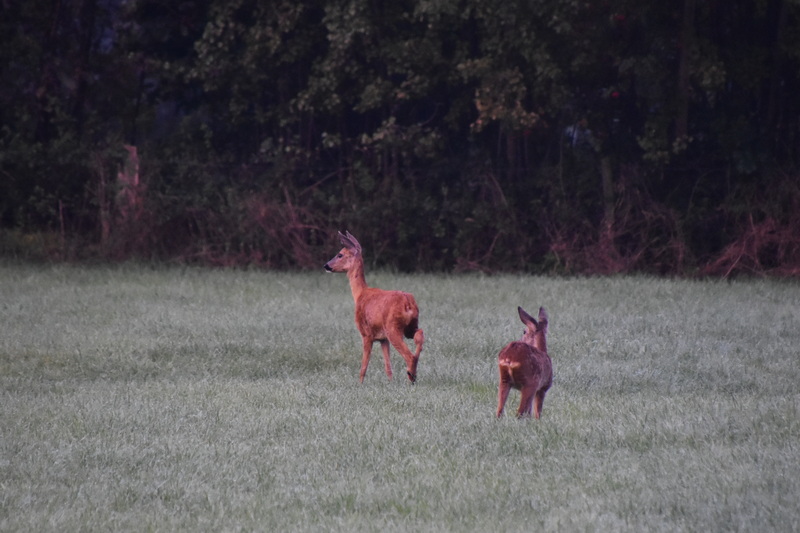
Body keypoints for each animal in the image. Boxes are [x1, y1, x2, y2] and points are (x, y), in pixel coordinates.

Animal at [324, 231, 424, 383]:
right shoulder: (383, 339)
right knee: (420, 335)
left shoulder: (366, 333)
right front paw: (390, 383)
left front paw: (359, 384)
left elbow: (363, 366)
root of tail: (408, 302)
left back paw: (410, 377)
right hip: (410, 326)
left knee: (409, 355)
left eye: (340, 254)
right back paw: (413, 374)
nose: (326, 265)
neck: (360, 294)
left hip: (393, 328)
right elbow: (388, 367)